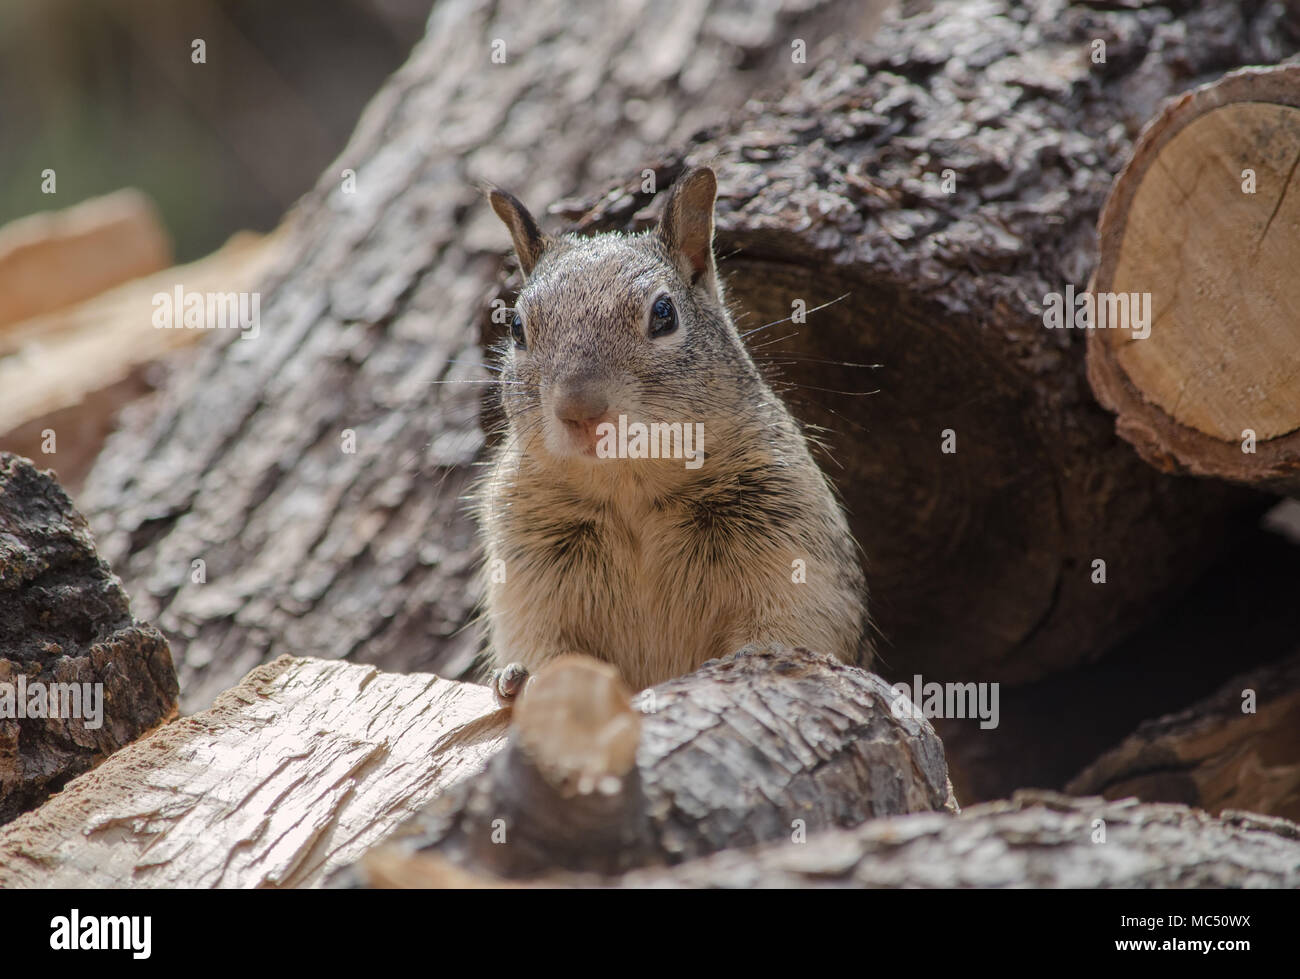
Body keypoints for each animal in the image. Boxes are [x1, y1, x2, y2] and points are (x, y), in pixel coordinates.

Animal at [473, 167, 868, 702]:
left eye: (664, 314)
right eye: (515, 327)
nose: (580, 411)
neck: (629, 484)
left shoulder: (791, 535)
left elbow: (798, 621)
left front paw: (760, 653)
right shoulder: (527, 566)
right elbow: (539, 636)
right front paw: (525, 676)